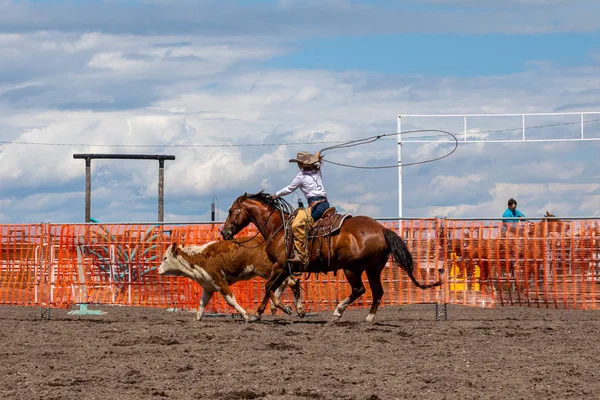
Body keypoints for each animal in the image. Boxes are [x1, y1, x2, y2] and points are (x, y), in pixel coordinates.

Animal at [158, 234, 304, 322]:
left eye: (165, 258)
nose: (158, 270)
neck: (198, 259)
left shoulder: (219, 282)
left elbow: (230, 300)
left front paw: (245, 315)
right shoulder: (208, 287)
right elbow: (202, 303)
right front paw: (197, 318)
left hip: (267, 269)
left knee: (284, 282)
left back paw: (279, 307)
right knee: (289, 282)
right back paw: (295, 309)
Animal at [218, 191, 442, 322]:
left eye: (231, 210)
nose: (224, 232)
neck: (278, 228)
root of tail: (381, 229)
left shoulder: (280, 265)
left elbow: (269, 287)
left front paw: (275, 309)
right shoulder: (289, 268)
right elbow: (288, 286)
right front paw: (291, 310)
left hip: (352, 268)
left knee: (360, 290)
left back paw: (338, 311)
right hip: (374, 268)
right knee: (377, 292)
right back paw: (368, 318)